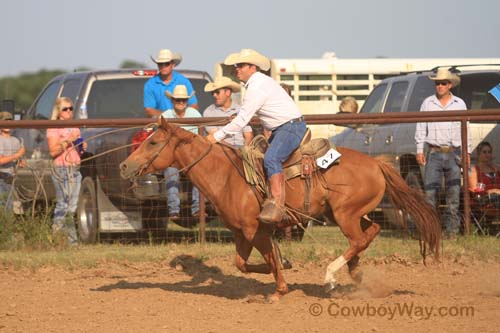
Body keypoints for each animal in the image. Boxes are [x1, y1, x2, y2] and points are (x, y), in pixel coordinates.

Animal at [121, 118, 442, 298]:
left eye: (154, 142)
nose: (125, 166)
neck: (227, 176)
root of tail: (376, 163)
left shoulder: (257, 230)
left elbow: (267, 259)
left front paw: (280, 289)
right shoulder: (241, 232)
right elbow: (243, 264)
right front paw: (283, 264)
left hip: (345, 214)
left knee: (359, 239)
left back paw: (331, 278)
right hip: (345, 213)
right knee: (369, 232)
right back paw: (355, 273)